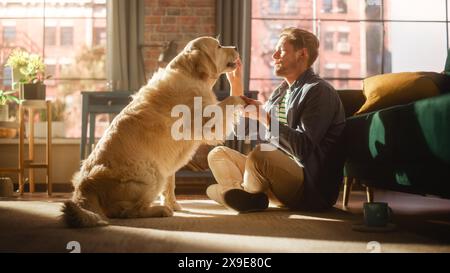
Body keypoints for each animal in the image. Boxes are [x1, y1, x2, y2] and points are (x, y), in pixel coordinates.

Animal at [62, 36, 244, 227]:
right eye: (219, 46)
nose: (236, 47)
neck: (192, 75)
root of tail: (85, 185)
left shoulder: (169, 161)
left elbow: (171, 184)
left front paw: (173, 203)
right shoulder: (208, 123)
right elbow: (228, 102)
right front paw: (241, 98)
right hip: (152, 173)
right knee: (127, 212)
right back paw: (159, 210)